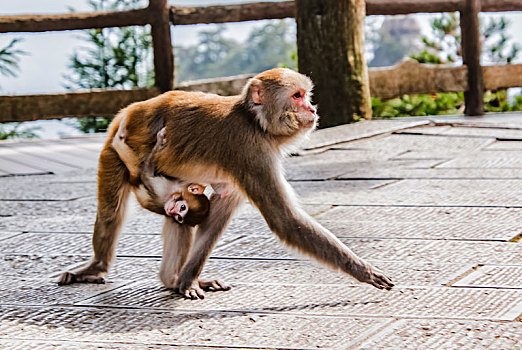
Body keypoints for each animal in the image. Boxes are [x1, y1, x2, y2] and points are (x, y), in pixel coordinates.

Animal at [59, 67, 392, 298]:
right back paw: (97, 266)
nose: (312, 109)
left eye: (306, 96)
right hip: (114, 150)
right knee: (111, 213)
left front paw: (187, 280)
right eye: (298, 96)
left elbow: (217, 212)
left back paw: (171, 279)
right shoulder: (250, 153)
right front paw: (362, 270)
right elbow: (285, 220)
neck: (255, 122)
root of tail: (128, 111)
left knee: (180, 217)